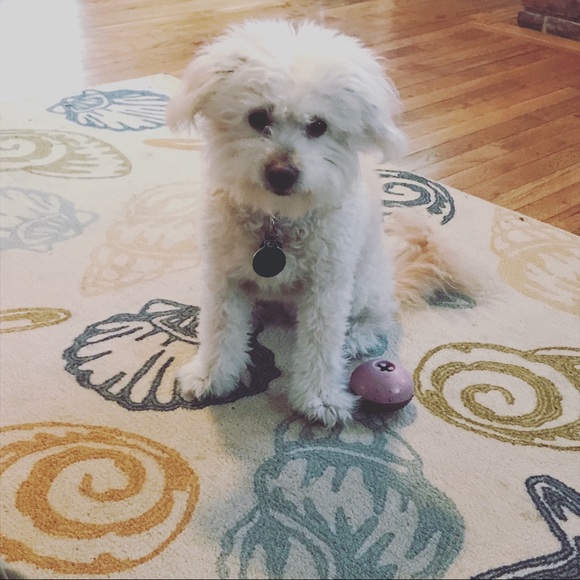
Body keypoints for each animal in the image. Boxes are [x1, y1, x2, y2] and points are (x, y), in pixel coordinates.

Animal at [167, 19, 474, 426]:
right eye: (258, 118)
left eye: (318, 126)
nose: (282, 173)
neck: (277, 222)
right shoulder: (223, 277)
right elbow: (219, 330)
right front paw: (211, 376)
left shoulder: (326, 289)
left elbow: (321, 344)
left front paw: (320, 400)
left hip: (363, 285)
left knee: (378, 316)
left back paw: (356, 337)